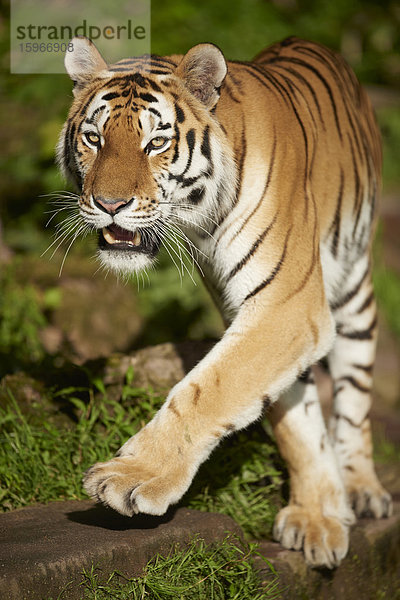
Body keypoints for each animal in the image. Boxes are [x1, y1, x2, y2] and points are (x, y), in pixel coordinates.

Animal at [57, 32, 394, 568]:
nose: (109, 205)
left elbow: (207, 389)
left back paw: (363, 488)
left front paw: (130, 478)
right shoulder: (257, 310)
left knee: (355, 397)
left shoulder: (287, 307)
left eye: (156, 142)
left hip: (354, 288)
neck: (202, 220)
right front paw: (316, 517)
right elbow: (294, 421)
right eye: (94, 138)